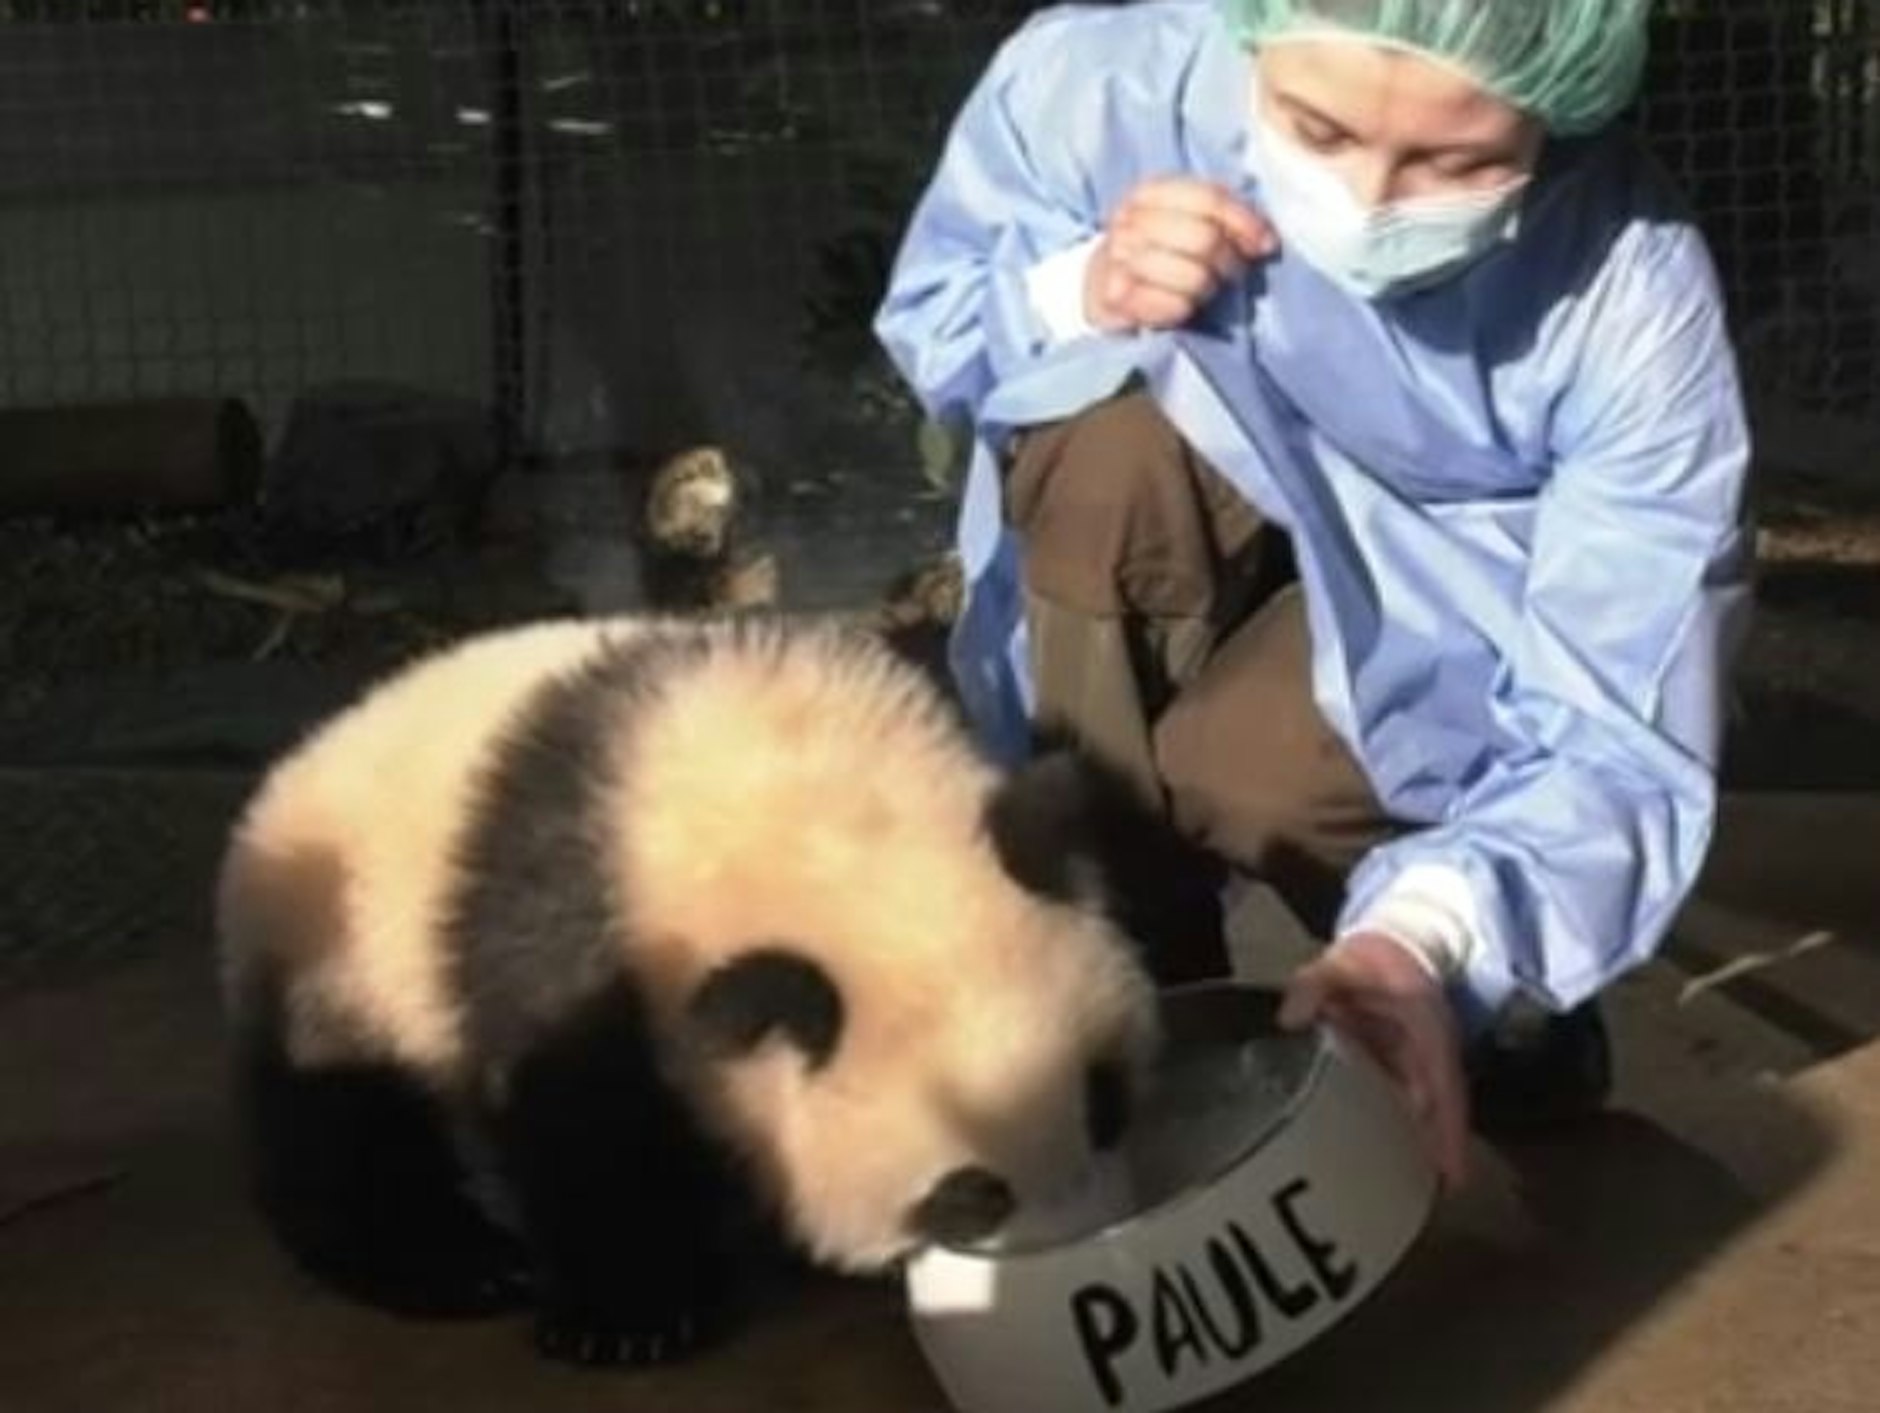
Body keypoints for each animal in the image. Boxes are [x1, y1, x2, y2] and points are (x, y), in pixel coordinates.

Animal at [214, 611, 1167, 1368]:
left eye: (1106, 1100)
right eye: (971, 1191)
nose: (1084, 1241)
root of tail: (284, 781)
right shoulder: (579, 932)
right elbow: (582, 1120)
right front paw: (628, 1321)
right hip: (340, 961)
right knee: (342, 1125)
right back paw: (456, 1264)